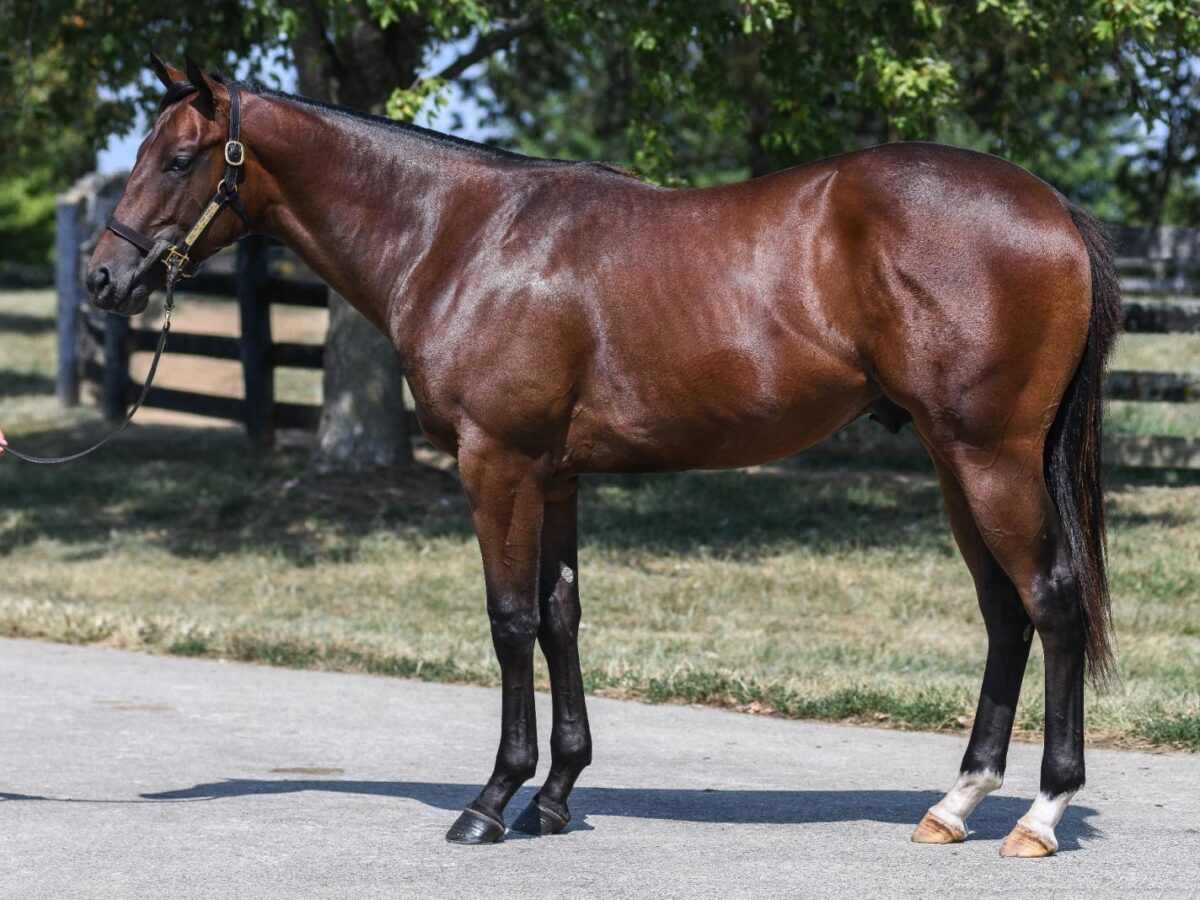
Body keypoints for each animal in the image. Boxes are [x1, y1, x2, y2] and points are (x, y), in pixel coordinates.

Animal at [87, 58, 1123, 859]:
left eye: (178, 158)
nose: (104, 278)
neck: (461, 235)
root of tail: (1052, 205)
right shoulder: (555, 476)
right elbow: (560, 619)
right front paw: (553, 796)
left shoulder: (496, 464)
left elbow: (509, 623)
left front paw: (489, 803)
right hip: (956, 464)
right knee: (1006, 615)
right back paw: (955, 805)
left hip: (988, 458)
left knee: (1052, 602)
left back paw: (1038, 815)